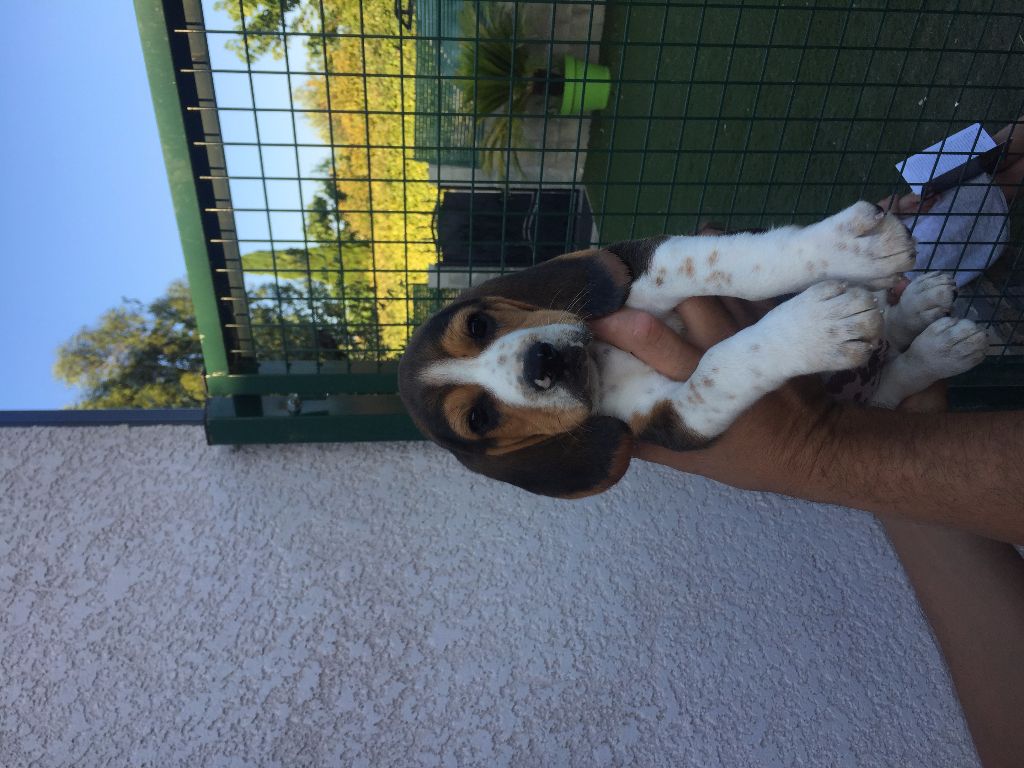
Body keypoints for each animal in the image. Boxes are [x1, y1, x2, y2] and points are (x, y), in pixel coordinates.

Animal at [399, 202, 989, 498]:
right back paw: (937, 344)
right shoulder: (672, 418)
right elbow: (718, 365)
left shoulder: (642, 267)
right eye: (478, 417)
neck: (603, 360)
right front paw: (816, 329)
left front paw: (846, 249)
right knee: (889, 381)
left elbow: (733, 265)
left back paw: (923, 311)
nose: (540, 363)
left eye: (478, 323)